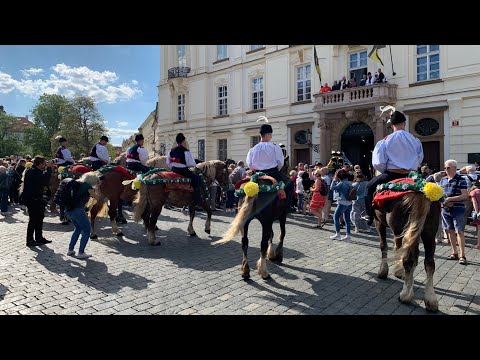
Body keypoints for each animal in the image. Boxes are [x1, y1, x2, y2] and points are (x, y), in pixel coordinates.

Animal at [374, 172, 444, 312]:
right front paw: (400, 271)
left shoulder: (379, 223)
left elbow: (384, 246)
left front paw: (383, 271)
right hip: (428, 234)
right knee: (429, 263)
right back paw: (431, 300)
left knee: (409, 260)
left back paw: (405, 295)